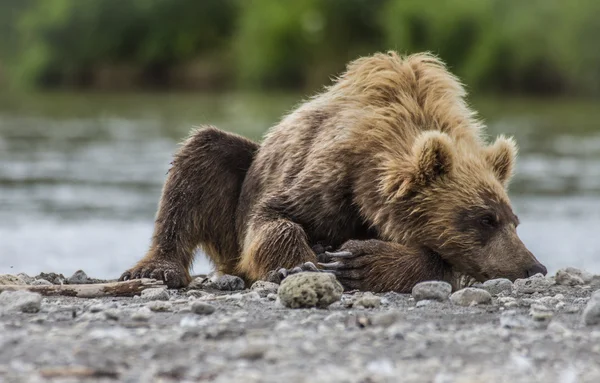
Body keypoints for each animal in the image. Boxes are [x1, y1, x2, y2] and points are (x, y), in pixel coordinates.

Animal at [119, 50, 548, 292]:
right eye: (485, 218)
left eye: (514, 219)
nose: (533, 267)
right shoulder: (326, 178)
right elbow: (274, 217)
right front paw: (300, 263)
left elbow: (439, 260)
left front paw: (359, 262)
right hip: (238, 178)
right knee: (199, 158)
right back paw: (157, 269)